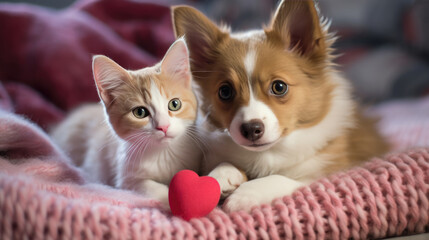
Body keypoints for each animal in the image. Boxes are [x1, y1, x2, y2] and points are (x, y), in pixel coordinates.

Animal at [50, 39, 201, 208]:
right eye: (140, 112)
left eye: (175, 104)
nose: (163, 126)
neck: (163, 153)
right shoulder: (126, 178)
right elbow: (152, 188)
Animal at [171, 0, 388, 212]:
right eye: (225, 92)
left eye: (279, 87)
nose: (251, 129)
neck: (270, 153)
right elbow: (224, 163)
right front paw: (220, 176)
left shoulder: (330, 172)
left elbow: (283, 178)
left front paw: (245, 194)